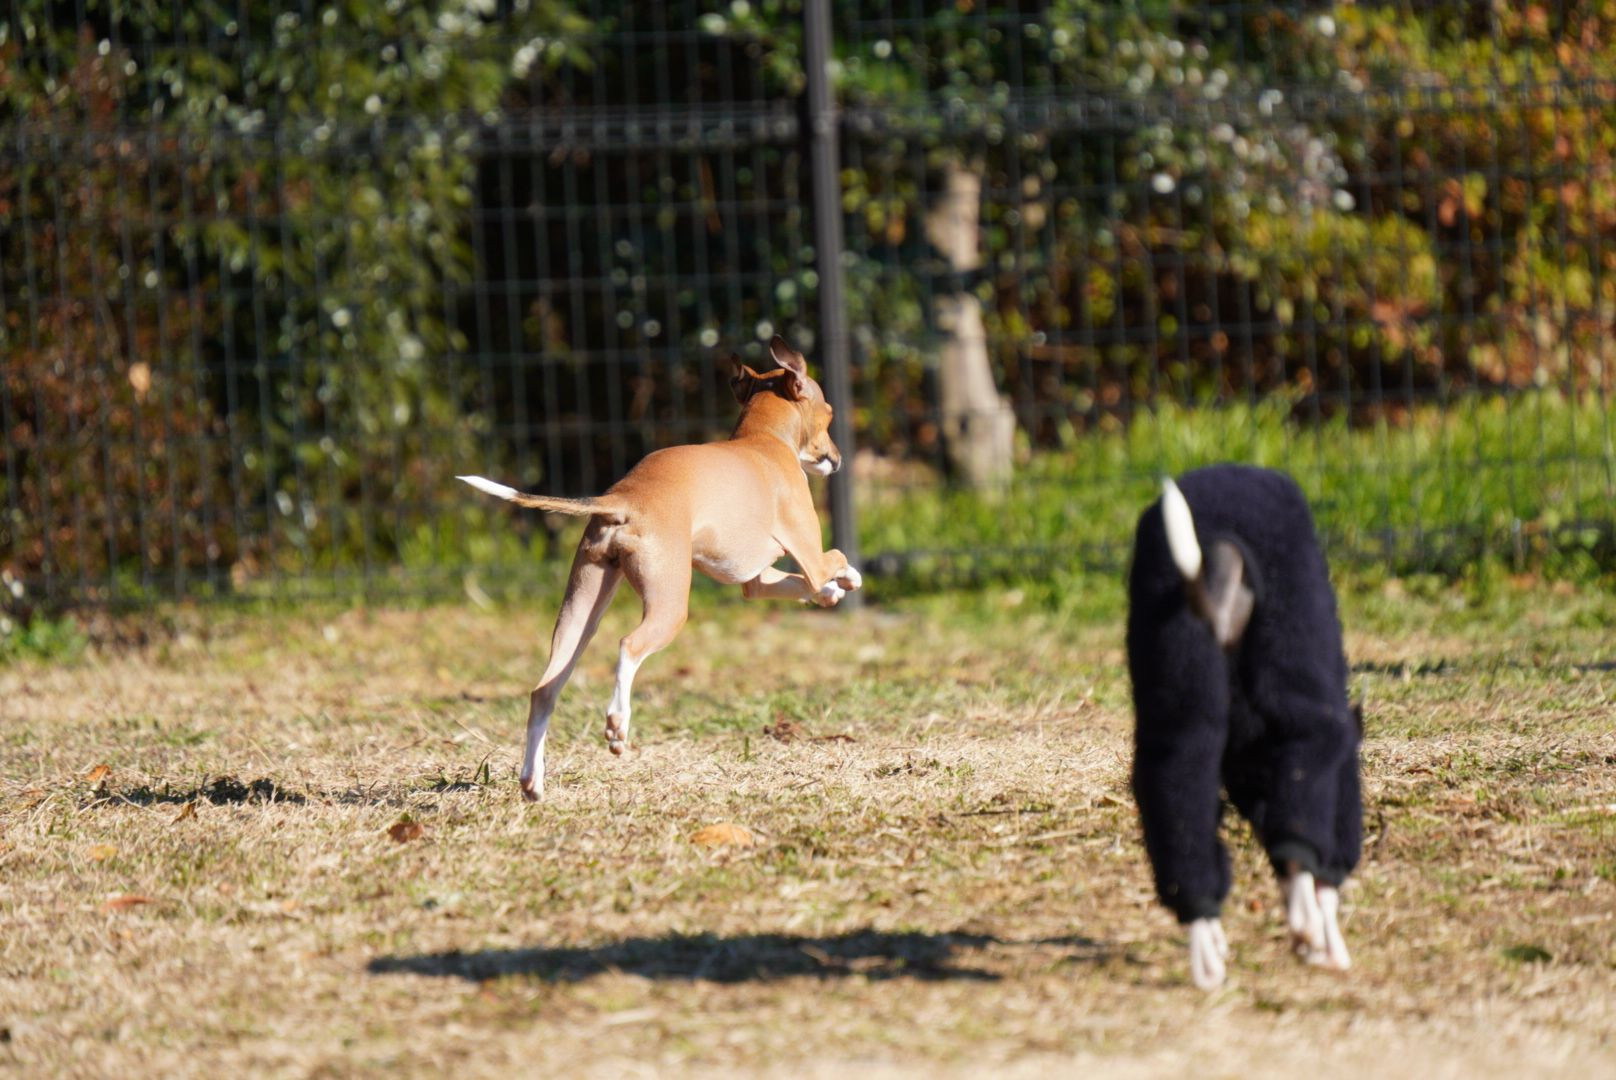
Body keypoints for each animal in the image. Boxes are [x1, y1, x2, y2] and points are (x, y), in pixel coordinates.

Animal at [458, 336, 862, 800]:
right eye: (829, 414)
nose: (837, 460)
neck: (762, 440)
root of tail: (624, 498)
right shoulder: (809, 555)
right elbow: (834, 559)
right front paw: (845, 581)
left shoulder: (756, 582)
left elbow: (795, 584)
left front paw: (830, 593)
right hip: (669, 605)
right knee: (628, 646)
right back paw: (617, 727)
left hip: (580, 610)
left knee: (544, 690)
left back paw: (532, 781)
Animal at [1126, 465, 1361, 989]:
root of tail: (1217, 554)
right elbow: (1315, 878)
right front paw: (1326, 944)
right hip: (1291, 668)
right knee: (1298, 845)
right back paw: (1303, 926)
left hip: (1177, 703)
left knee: (1180, 806)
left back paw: (1207, 954)